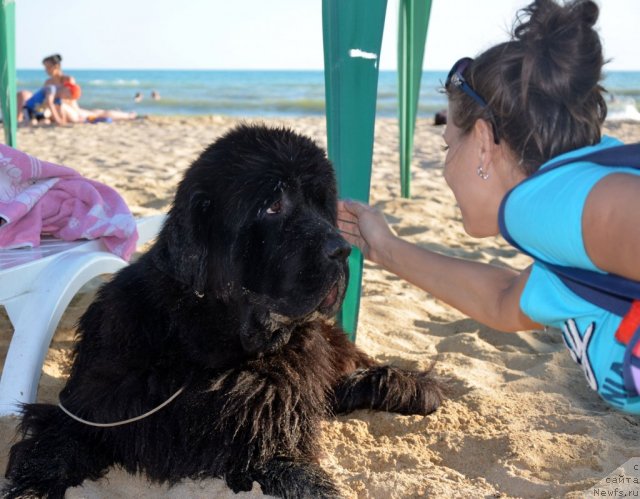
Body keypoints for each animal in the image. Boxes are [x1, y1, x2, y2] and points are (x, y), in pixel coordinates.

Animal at [5, 125, 444, 499]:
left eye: (321, 204)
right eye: (273, 206)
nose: (342, 249)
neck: (205, 350)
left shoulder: (272, 429)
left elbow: (301, 475)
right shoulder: (92, 408)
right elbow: (51, 451)